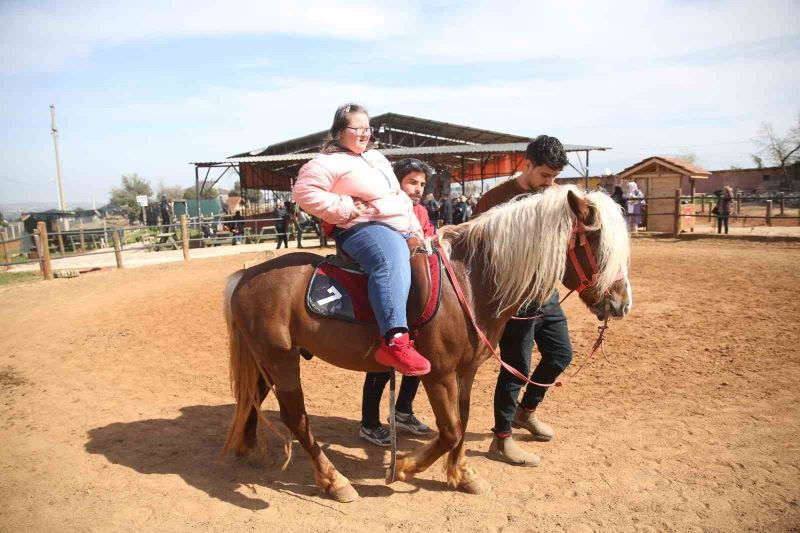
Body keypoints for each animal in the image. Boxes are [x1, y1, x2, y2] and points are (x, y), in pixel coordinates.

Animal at [219, 185, 632, 500]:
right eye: (599, 246)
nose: (621, 303)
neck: (469, 282)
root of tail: (245, 275)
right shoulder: (438, 374)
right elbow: (449, 430)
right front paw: (403, 467)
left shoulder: (465, 373)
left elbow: (462, 422)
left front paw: (462, 475)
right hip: (281, 360)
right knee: (296, 418)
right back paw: (335, 481)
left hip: (265, 361)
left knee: (252, 399)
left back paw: (248, 447)